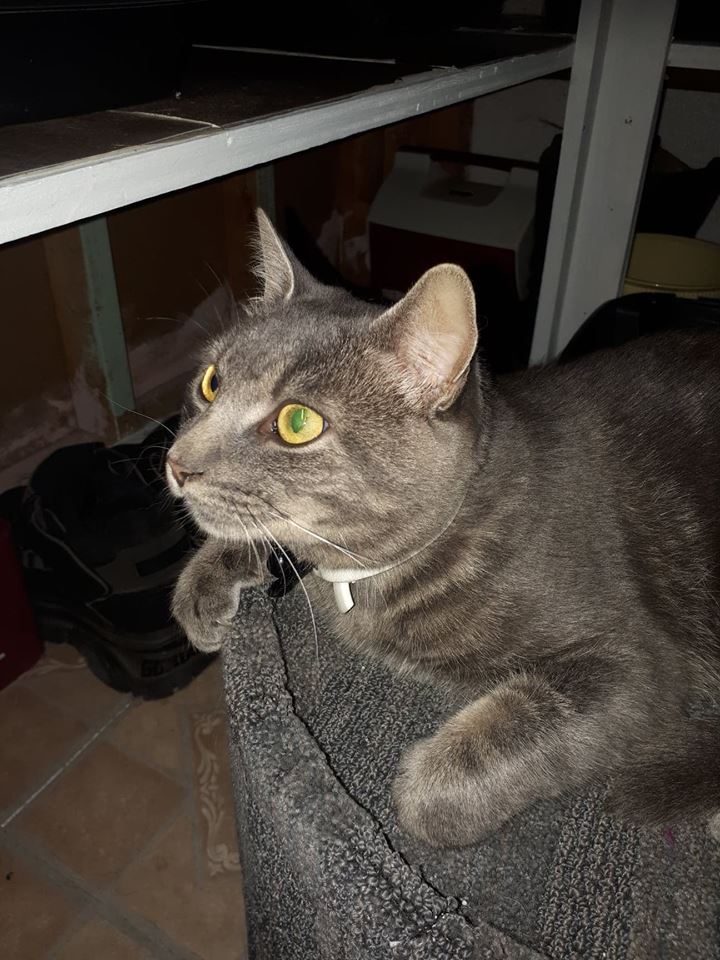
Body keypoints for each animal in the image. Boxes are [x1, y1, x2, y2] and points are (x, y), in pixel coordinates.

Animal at [168, 209, 720, 848]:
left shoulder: (636, 666)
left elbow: (447, 783)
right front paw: (203, 586)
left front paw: (418, 794)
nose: (177, 463)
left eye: (297, 422)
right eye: (211, 382)